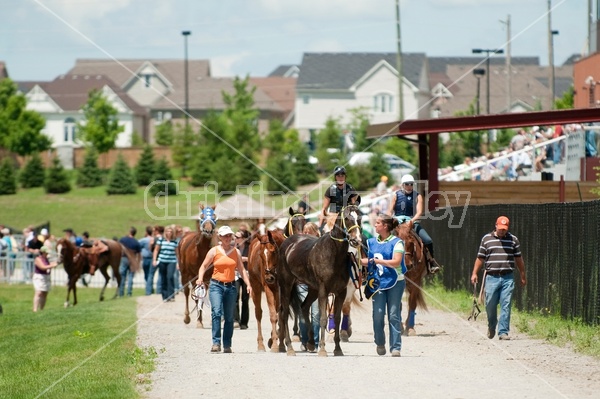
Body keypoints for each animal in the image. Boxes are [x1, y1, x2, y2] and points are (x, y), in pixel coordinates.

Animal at [248, 209, 304, 354]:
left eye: (273, 252)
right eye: (261, 255)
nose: (269, 277)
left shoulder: (284, 288)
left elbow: (282, 313)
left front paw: (281, 342)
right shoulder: (269, 288)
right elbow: (274, 315)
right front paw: (274, 343)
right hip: (256, 286)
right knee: (258, 313)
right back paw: (261, 344)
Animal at [278, 205, 360, 358]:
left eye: (360, 217)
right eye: (347, 218)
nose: (356, 239)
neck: (334, 254)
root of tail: (287, 244)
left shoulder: (341, 292)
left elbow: (337, 318)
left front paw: (338, 349)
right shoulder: (323, 290)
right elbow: (323, 318)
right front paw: (322, 349)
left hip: (312, 289)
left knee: (304, 307)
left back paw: (309, 343)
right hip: (286, 285)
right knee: (284, 313)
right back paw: (289, 347)